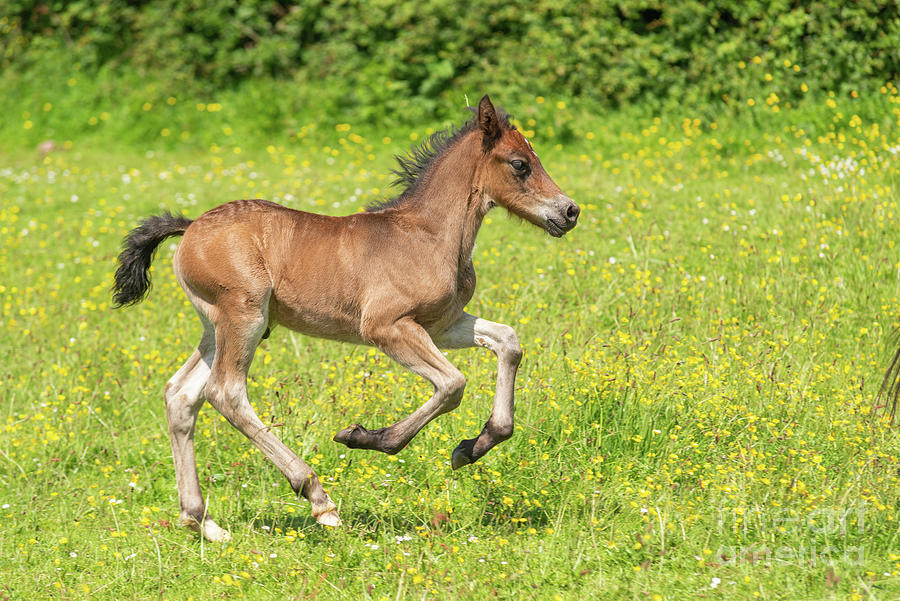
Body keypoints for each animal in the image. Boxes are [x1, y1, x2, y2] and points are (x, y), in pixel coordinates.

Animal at [112, 96, 580, 540]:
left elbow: (508, 342)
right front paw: (366, 437)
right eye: (520, 164)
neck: (429, 236)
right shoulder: (386, 328)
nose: (570, 211)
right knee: (225, 392)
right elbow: (452, 384)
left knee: (181, 395)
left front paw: (474, 446)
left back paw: (202, 522)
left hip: (219, 327)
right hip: (244, 316)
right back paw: (318, 500)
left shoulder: (442, 324)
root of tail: (190, 227)